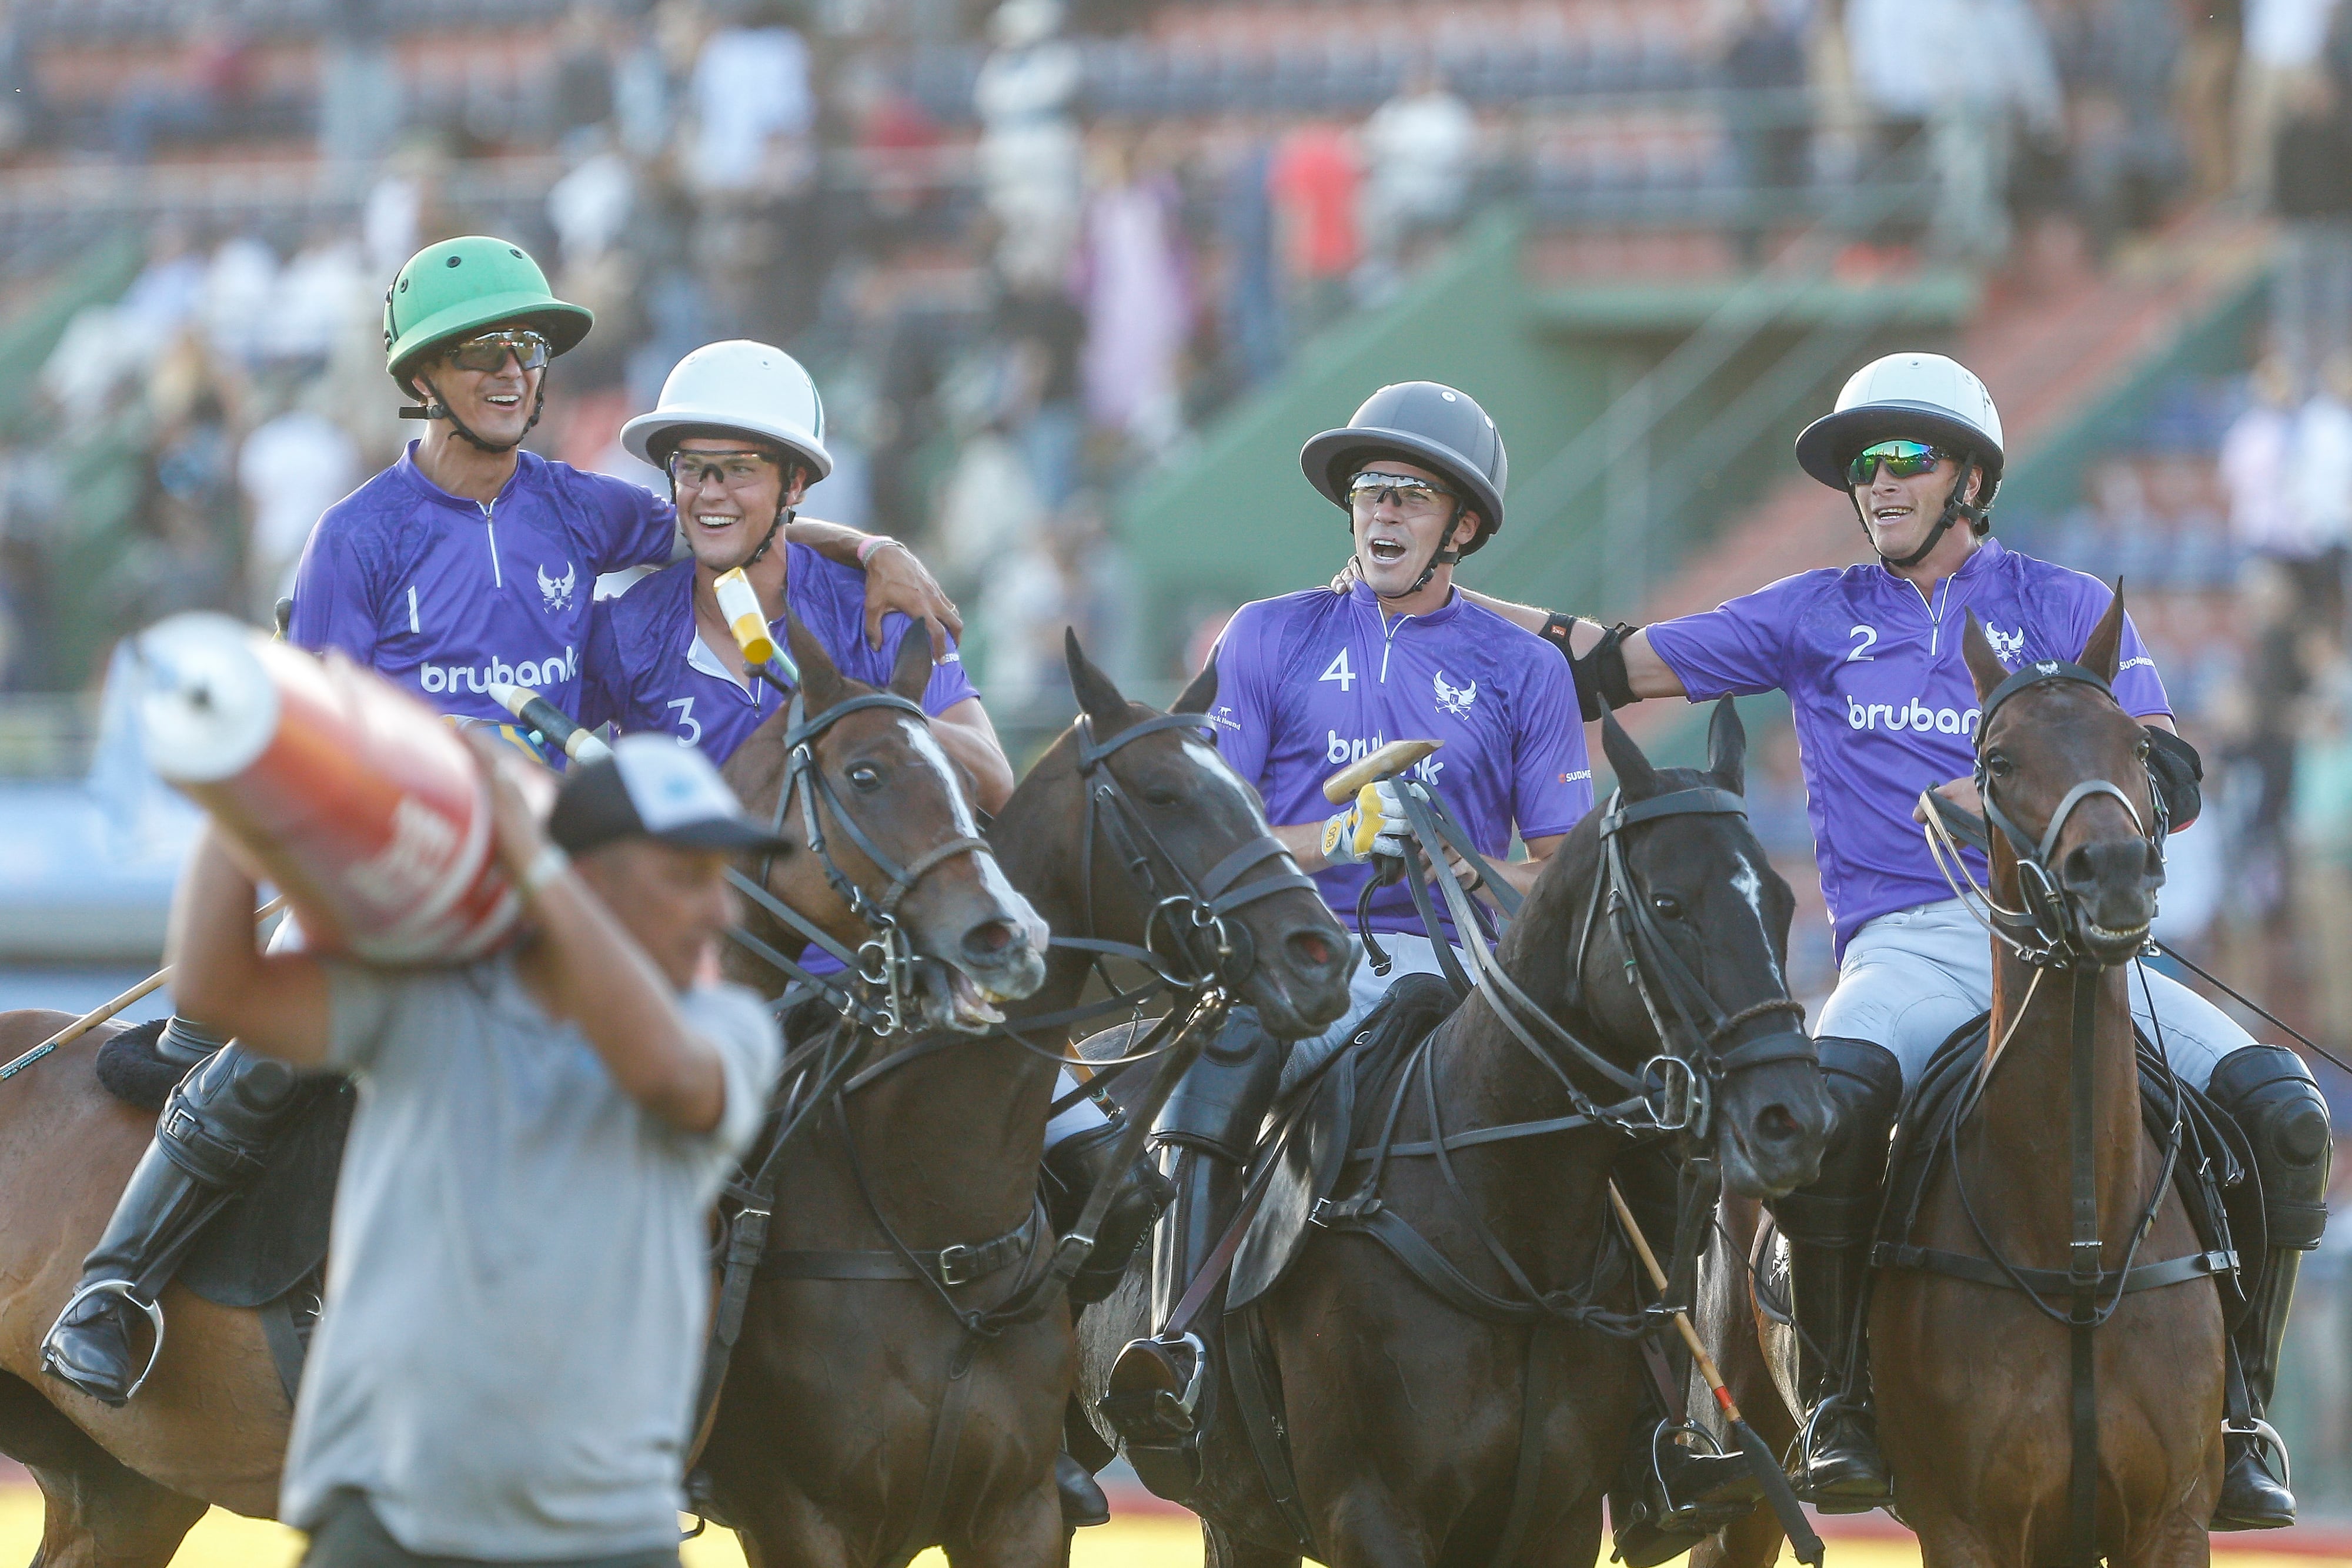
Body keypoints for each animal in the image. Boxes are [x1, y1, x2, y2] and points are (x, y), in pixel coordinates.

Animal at [696, 634, 1355, 1568]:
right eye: (1164, 793)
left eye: (1255, 795)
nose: (1322, 953)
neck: (936, 1230)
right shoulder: (799, 1515)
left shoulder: (1018, 1513)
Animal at [1082, 705, 1835, 1568]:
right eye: (1670, 903)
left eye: (1782, 902)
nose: (1793, 1116)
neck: (1506, 1235)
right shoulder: (1369, 1512)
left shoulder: (1556, 1518)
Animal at [1703, 592, 2230, 1568]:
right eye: (2000, 759)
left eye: (2138, 749)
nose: (2114, 873)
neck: (2078, 1241)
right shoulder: (1967, 1522)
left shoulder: (2172, 1517)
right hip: (1736, 1460)